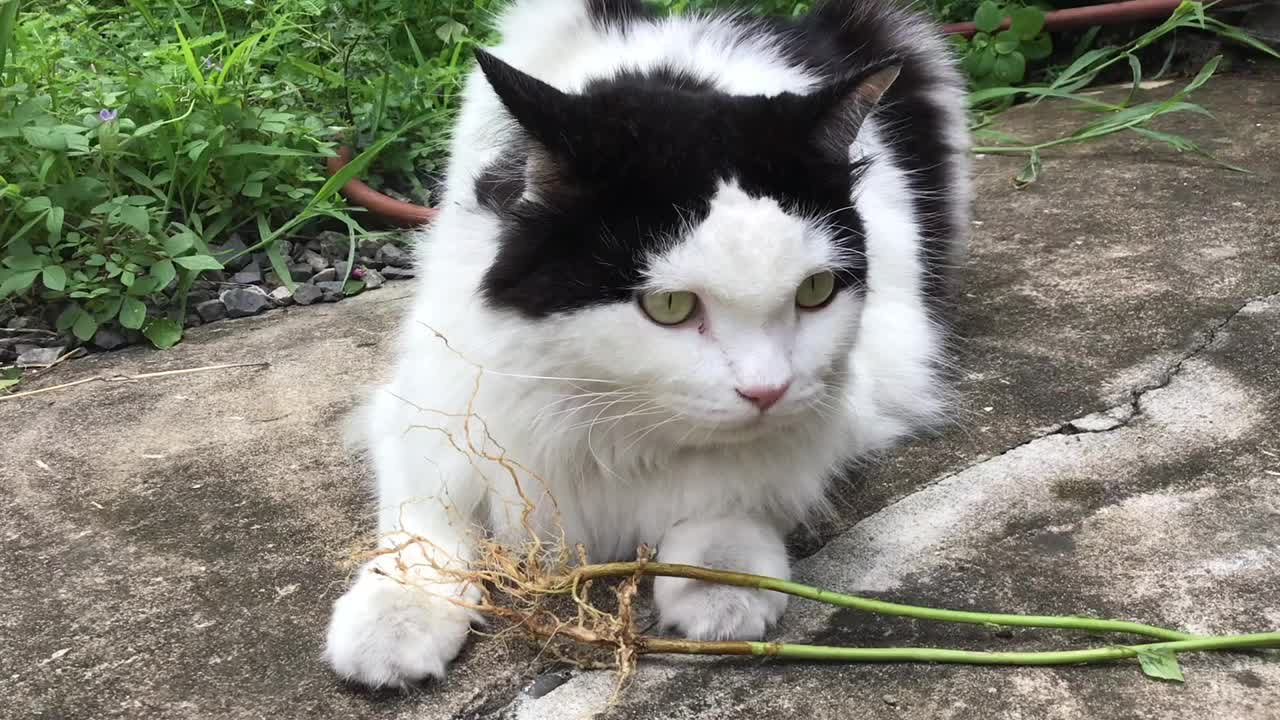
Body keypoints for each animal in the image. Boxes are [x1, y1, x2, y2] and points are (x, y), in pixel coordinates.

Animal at [322, 0, 967, 681]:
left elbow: (736, 482)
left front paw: (722, 583)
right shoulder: (433, 391)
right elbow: (426, 508)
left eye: (814, 292)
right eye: (670, 306)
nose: (766, 390)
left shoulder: (859, 381)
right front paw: (399, 614)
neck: (611, 422)